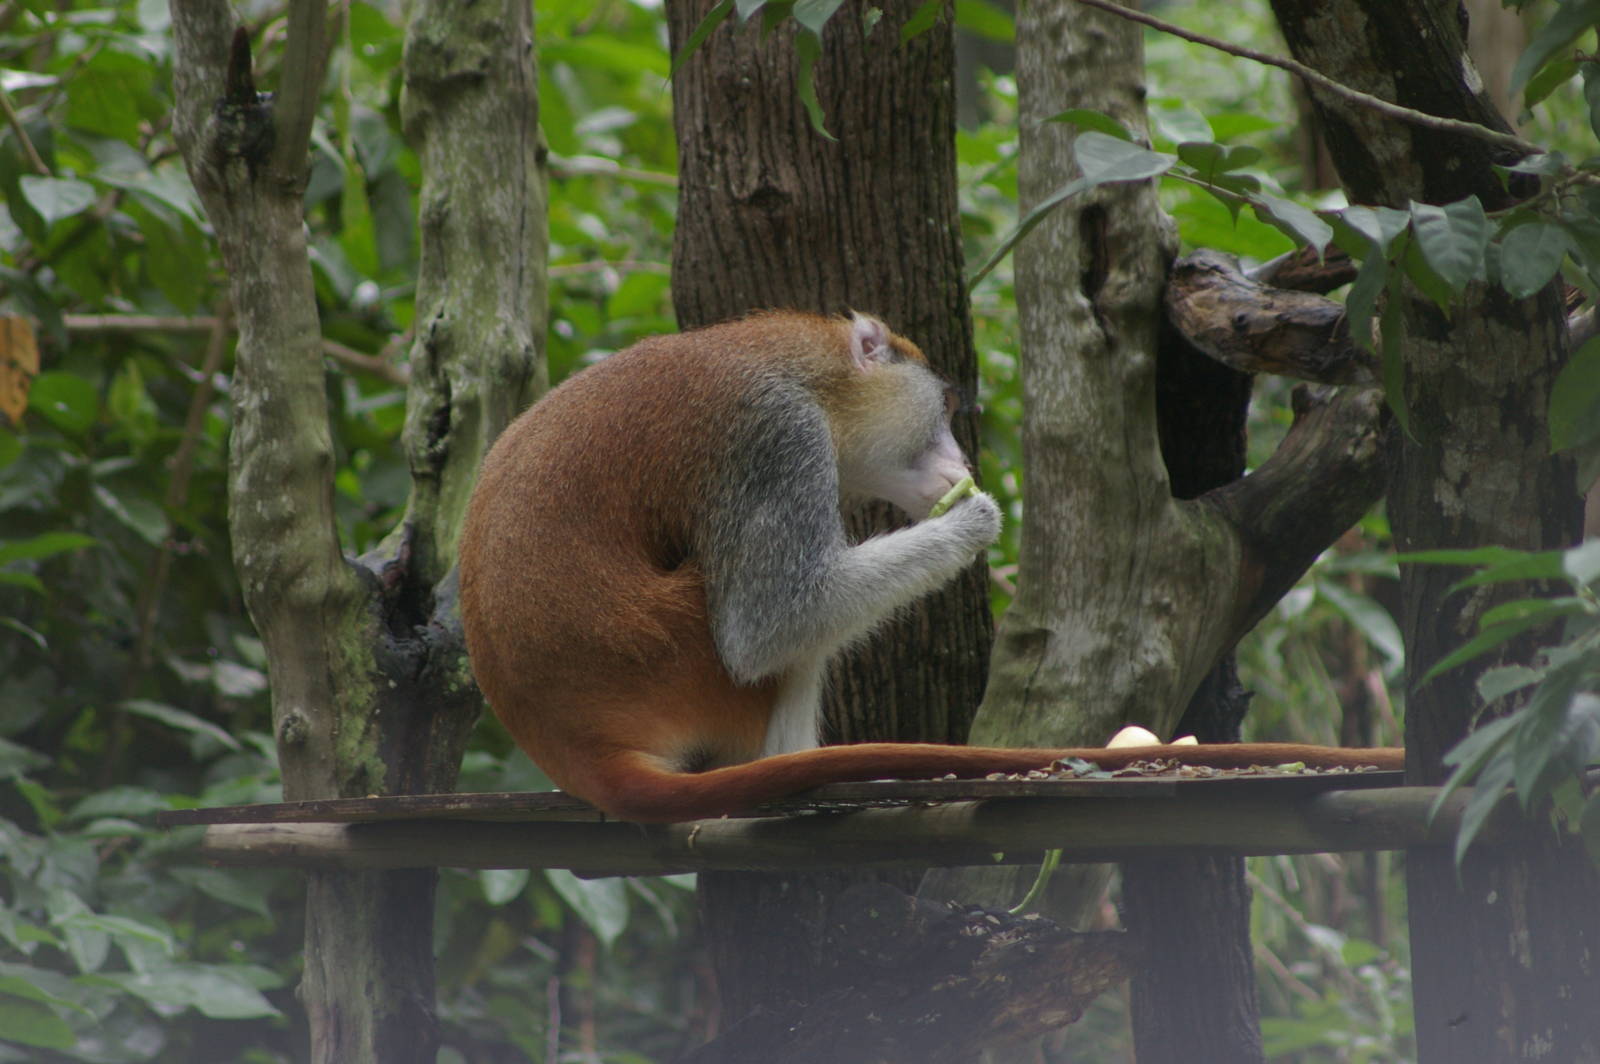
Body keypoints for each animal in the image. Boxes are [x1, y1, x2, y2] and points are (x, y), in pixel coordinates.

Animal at [458, 311, 1403, 823]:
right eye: (943, 405)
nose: (958, 458)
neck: (789, 360)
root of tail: (574, 743)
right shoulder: (778, 439)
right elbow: (771, 626)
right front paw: (973, 520)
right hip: (676, 662)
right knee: (775, 646)